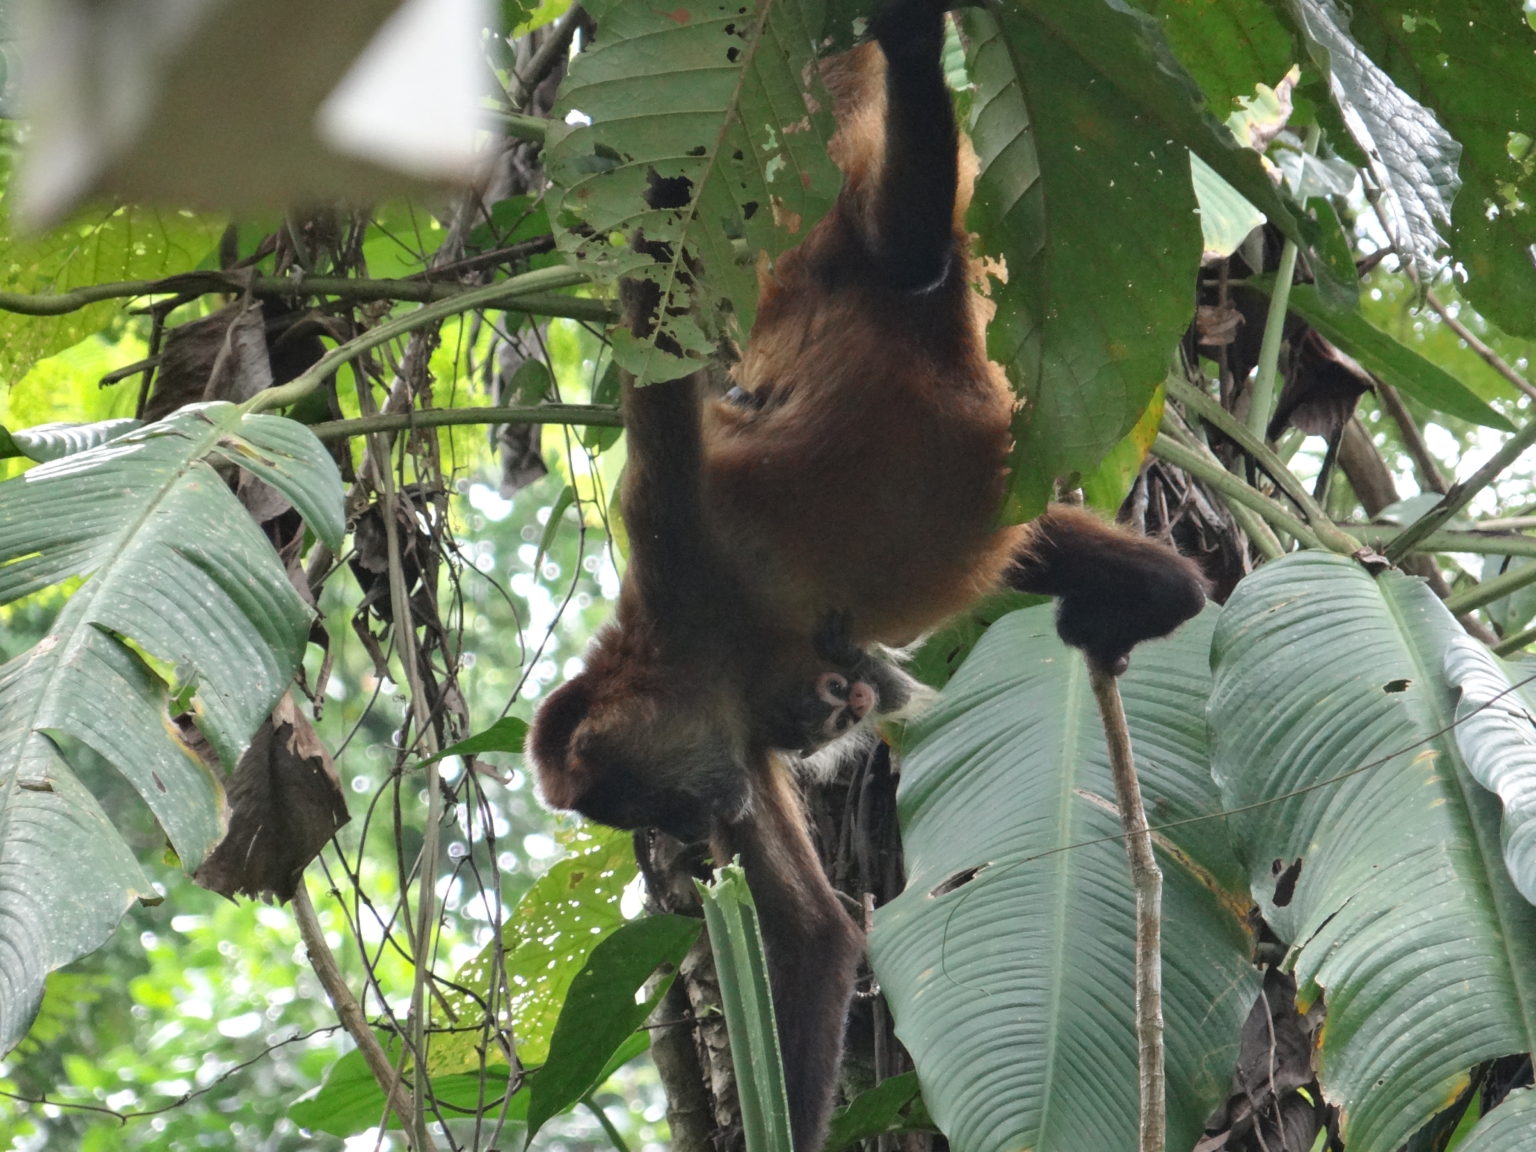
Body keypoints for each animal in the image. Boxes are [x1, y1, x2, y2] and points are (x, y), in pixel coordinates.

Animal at [530, 3, 1209, 1148]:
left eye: (636, 807)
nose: (693, 842)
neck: (701, 652)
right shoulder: (740, 738)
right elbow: (814, 933)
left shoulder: (667, 542)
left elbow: (658, 360)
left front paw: (656, 210)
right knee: (1039, 532)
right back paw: (1152, 600)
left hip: (873, 263)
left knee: (909, 248)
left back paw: (909, 44)